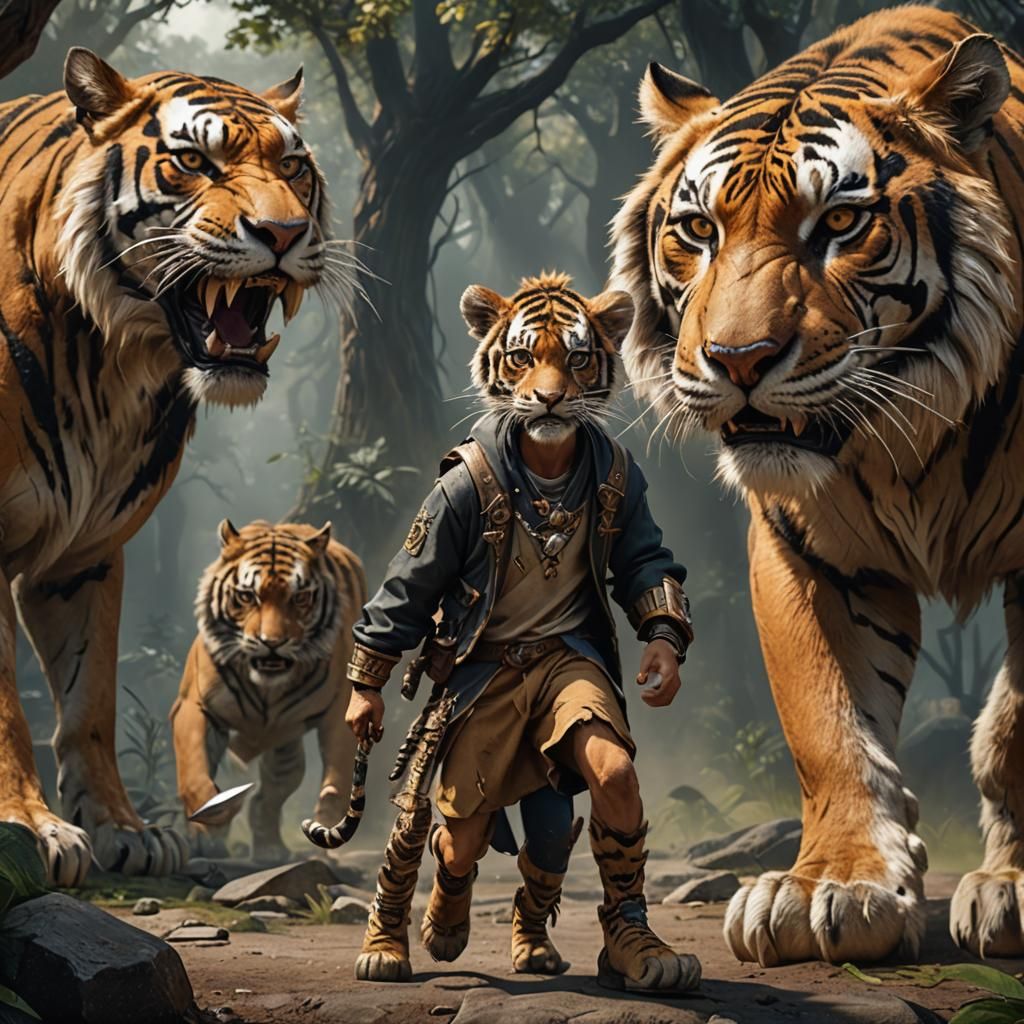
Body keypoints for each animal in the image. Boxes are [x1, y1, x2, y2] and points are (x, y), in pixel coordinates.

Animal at [0, 48, 332, 885]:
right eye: (193, 162)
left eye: (293, 166)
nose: (284, 232)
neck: (108, 359)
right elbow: (7, 703)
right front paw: (31, 826)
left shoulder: (86, 555)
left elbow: (89, 701)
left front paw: (124, 829)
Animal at [172, 519, 365, 863]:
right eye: (247, 596)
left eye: (300, 598)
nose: (272, 642)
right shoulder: (194, 705)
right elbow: (194, 767)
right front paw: (210, 823)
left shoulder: (339, 713)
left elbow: (337, 780)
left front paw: (325, 827)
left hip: (285, 746)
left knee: (272, 793)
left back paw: (271, 850)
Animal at [610, 6, 1024, 964]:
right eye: (699, 231)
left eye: (838, 221)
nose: (737, 360)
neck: (914, 435)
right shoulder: (806, 547)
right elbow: (827, 720)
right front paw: (832, 886)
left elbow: (1020, 728)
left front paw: (1012, 885)